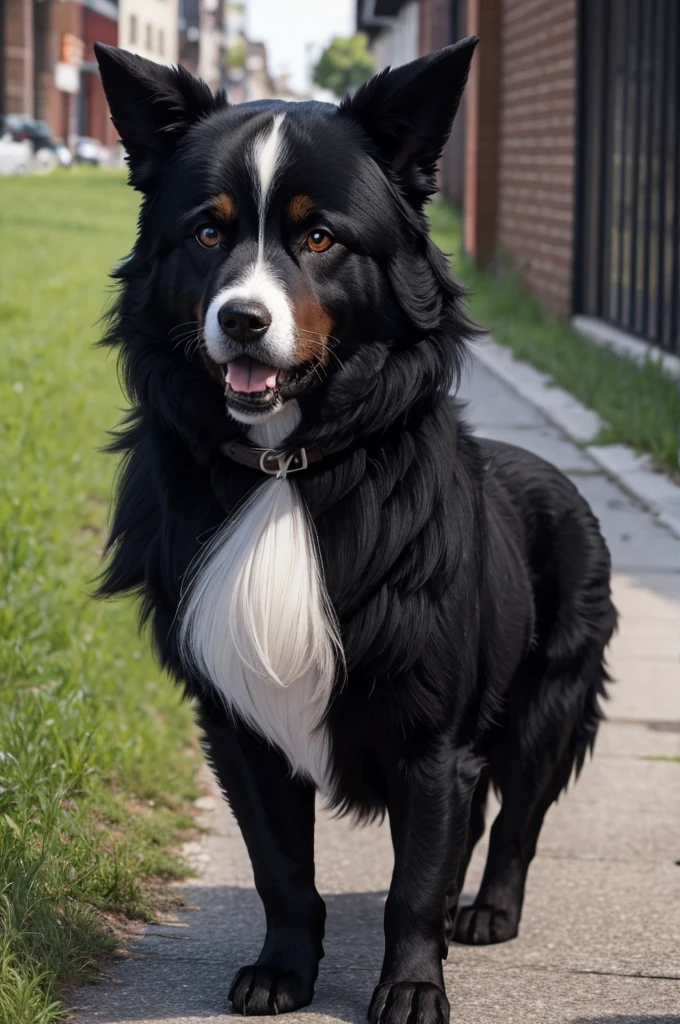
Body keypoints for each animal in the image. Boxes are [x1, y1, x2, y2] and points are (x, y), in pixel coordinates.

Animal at [93, 39, 618, 1024]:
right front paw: (283, 973)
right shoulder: (239, 723)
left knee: (516, 820)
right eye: (209, 233)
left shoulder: (431, 734)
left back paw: (485, 914)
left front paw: (411, 986)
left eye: (319, 238)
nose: (242, 320)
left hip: (549, 703)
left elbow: (414, 879)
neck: (288, 468)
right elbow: (281, 868)